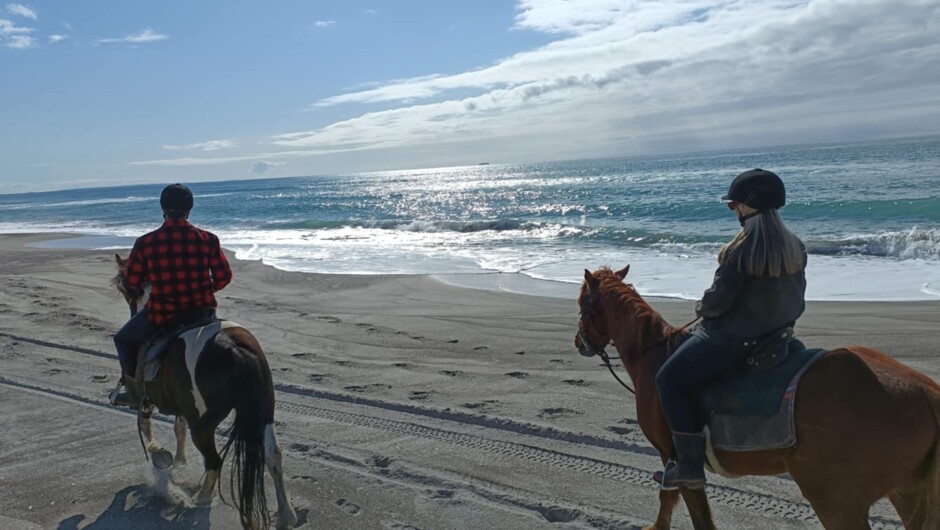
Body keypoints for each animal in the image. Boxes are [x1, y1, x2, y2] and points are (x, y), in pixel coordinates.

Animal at [113, 254, 298, 524]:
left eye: (127, 292)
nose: (132, 311)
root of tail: (234, 349)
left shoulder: (146, 399)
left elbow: (145, 427)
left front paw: (161, 456)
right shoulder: (181, 407)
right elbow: (178, 428)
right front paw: (179, 460)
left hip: (202, 424)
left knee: (214, 460)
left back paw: (201, 497)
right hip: (264, 413)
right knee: (273, 455)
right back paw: (286, 516)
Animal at [572, 266, 940, 524]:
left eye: (581, 303)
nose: (578, 342)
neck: (655, 356)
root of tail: (927, 393)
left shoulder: (672, 455)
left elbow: (678, 501)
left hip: (838, 501)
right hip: (905, 493)